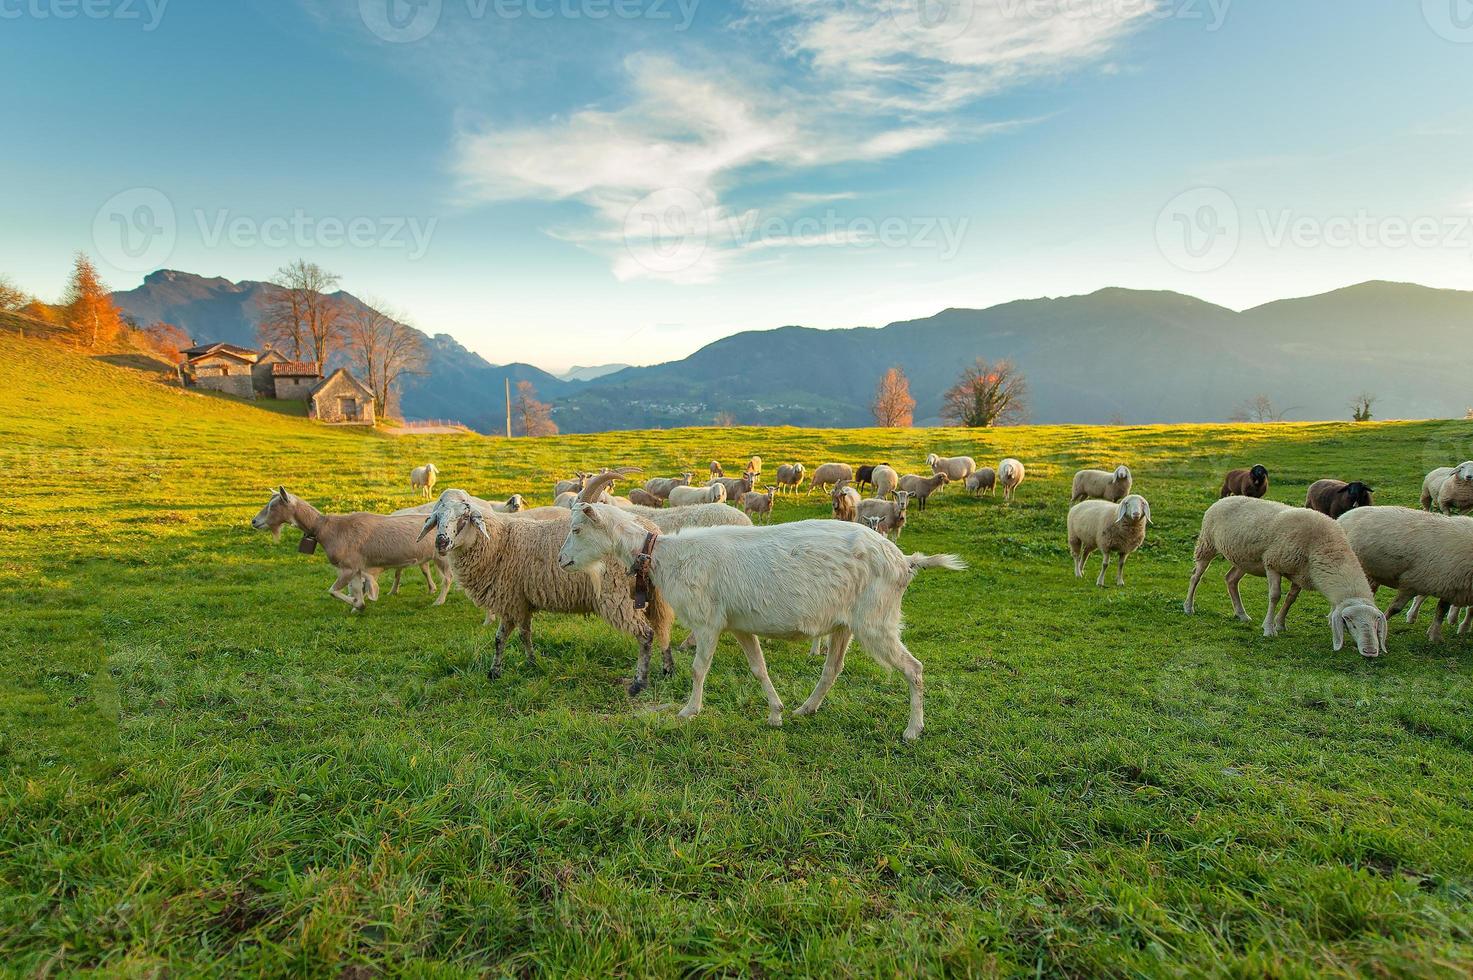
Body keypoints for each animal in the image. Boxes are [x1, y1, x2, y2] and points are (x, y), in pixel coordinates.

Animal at [253, 489, 450, 613]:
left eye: (273, 506)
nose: (254, 521)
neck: (327, 528)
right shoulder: (356, 568)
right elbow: (355, 588)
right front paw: (359, 606)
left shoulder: (347, 567)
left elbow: (333, 591)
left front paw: (358, 604)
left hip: (442, 556)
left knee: (447, 578)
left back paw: (438, 602)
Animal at [559, 504, 966, 742]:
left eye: (577, 529)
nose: (563, 561)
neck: (666, 556)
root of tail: (905, 562)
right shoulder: (738, 625)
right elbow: (758, 668)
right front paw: (776, 713)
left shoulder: (708, 621)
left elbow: (699, 668)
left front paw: (689, 710)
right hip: (846, 624)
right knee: (832, 669)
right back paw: (806, 709)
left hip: (876, 620)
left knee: (914, 668)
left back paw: (913, 729)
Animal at [1178, 492, 1384, 654]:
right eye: (1349, 621)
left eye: (1376, 623)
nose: (1370, 651)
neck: (1324, 547)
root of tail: (1225, 498)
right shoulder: (1272, 564)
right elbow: (1275, 596)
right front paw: (1269, 629)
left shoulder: (1301, 574)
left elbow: (1291, 599)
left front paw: (1281, 623)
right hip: (1207, 543)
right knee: (1196, 576)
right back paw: (1188, 607)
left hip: (1244, 559)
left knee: (1230, 579)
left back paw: (1241, 614)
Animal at [1343, 504, 1473, 642]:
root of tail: (1347, 514)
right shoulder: (1412, 582)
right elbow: (1395, 608)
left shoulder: (1451, 586)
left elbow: (1441, 611)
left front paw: (1435, 636)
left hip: (1371, 573)